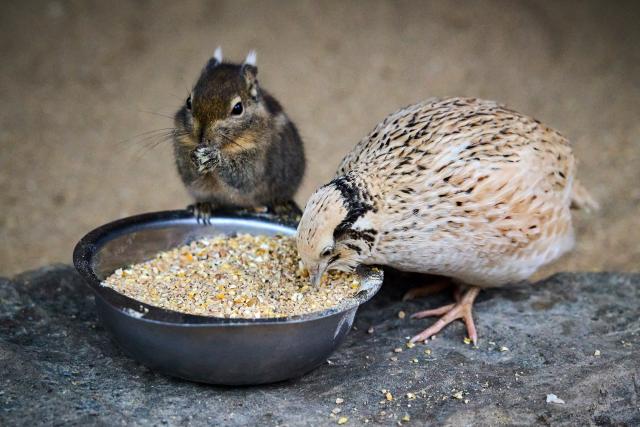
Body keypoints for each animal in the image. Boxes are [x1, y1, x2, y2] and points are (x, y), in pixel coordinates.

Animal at [173, 47, 305, 221]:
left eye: (238, 108)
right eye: (188, 101)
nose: (201, 136)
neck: (225, 147)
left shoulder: (259, 156)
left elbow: (244, 177)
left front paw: (214, 158)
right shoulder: (181, 144)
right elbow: (189, 173)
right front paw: (195, 158)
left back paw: (283, 208)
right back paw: (203, 206)